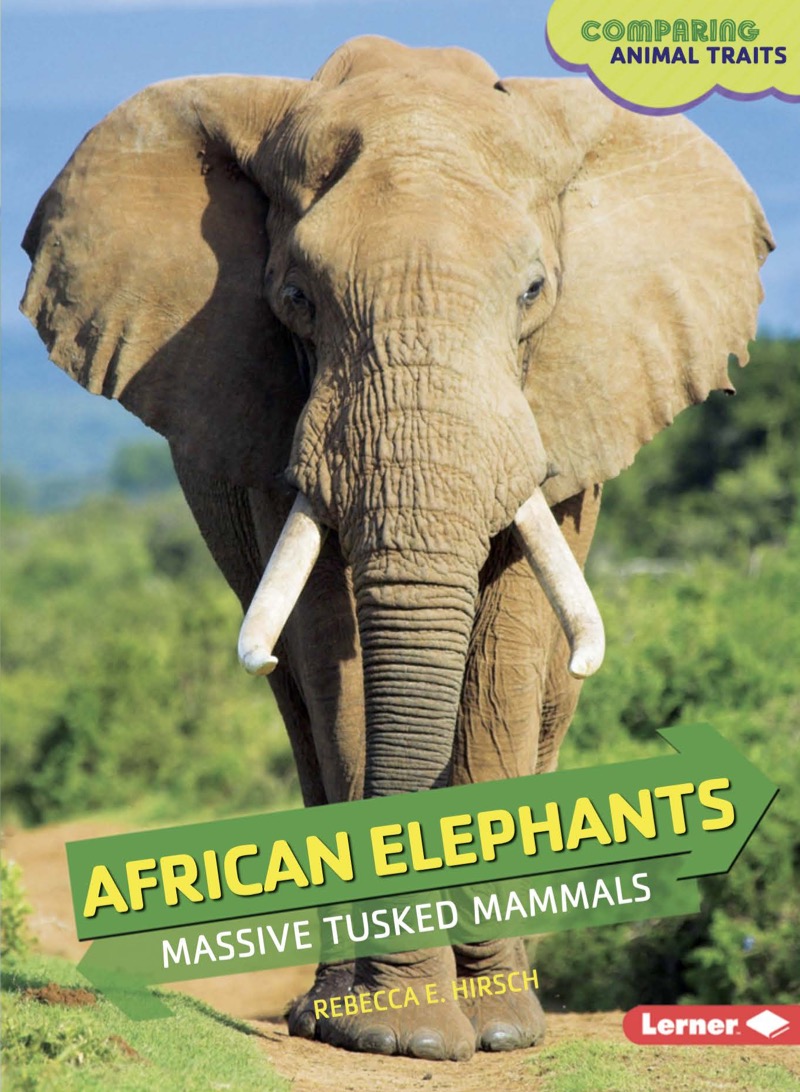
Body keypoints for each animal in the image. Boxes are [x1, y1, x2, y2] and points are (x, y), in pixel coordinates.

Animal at [21, 36, 771, 1062]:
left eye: (534, 292)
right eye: (295, 299)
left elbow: (504, 650)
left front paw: (492, 1028)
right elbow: (331, 656)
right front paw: (394, 1032)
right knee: (299, 710)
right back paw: (330, 1010)